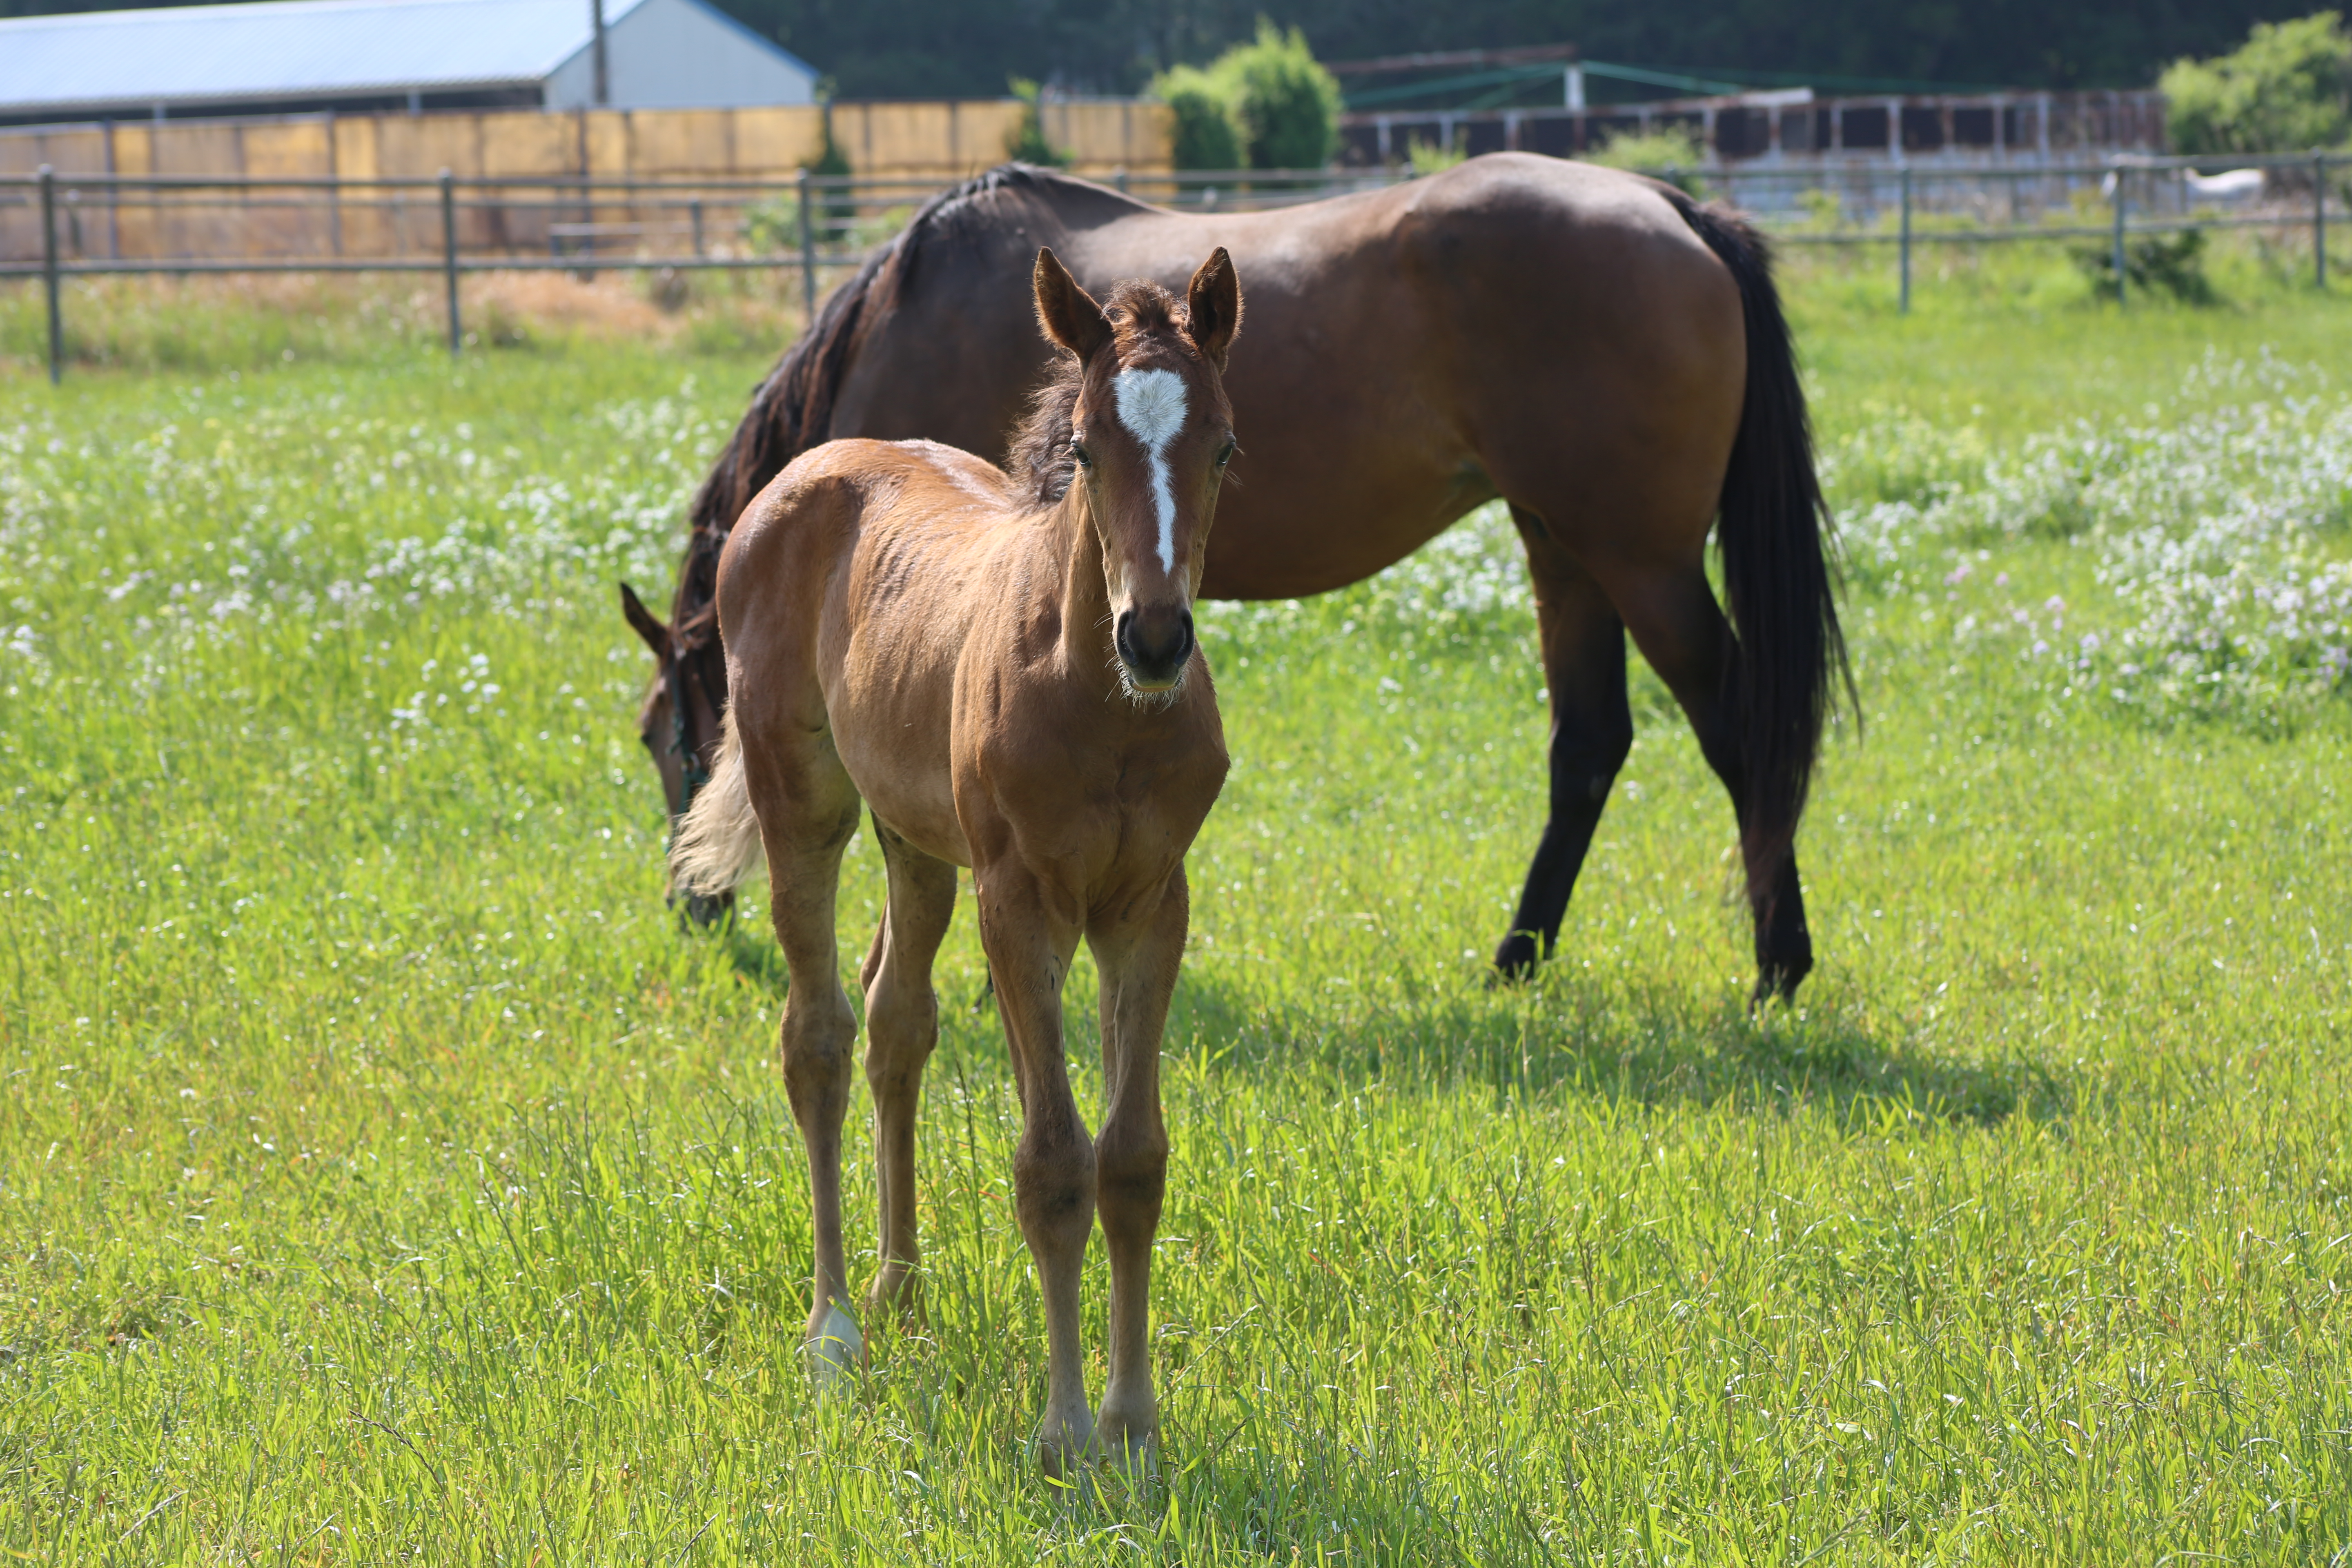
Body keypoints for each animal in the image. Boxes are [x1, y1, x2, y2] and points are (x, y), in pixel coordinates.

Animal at [630, 153, 1853, 1001]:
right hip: (1563, 544)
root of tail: (1670, 206)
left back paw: (1777, 966)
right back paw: (1516, 959)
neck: (916, 311)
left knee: (1737, 729)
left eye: (667, 740)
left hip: (1641, 559)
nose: (691, 905)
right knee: (1590, 744)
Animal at [668, 242, 1251, 1476]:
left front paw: (1135, 1426)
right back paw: (835, 1326)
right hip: (806, 806)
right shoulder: (1019, 903)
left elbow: (1132, 1158)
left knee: (898, 1025)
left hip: (917, 843)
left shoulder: (1149, 905)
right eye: (1083, 447)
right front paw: (1066, 1431)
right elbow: (1053, 1164)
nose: (1156, 638)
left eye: (1223, 444)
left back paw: (903, 1287)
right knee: (819, 1037)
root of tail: (807, 471)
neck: (1102, 706)